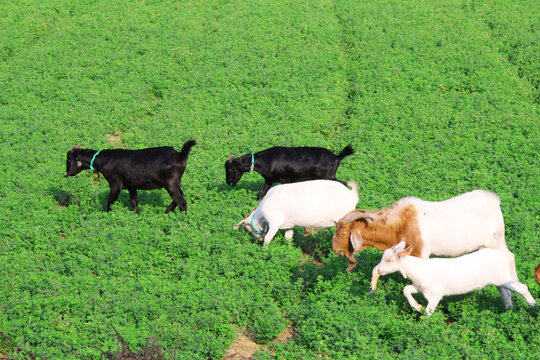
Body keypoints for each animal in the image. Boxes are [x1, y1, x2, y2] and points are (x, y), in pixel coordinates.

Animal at [65, 140, 196, 214]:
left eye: (69, 159)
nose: (66, 173)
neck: (103, 160)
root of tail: (180, 155)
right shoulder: (131, 185)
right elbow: (134, 202)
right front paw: (138, 215)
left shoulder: (115, 184)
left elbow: (110, 200)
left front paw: (106, 214)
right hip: (175, 182)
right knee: (180, 196)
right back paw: (167, 212)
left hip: (171, 183)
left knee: (182, 201)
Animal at [225, 144, 354, 200]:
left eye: (230, 168)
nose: (228, 182)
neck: (265, 160)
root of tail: (337, 157)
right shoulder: (269, 180)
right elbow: (261, 193)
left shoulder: (284, 180)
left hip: (329, 176)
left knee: (344, 183)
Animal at [332, 190, 516, 292]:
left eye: (343, 233)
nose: (336, 251)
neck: (399, 223)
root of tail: (494, 201)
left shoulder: (420, 253)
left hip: (495, 240)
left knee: (510, 257)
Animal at [372, 242, 536, 316]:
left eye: (389, 260)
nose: (378, 270)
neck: (419, 270)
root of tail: (502, 256)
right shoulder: (419, 287)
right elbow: (406, 289)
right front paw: (417, 306)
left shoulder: (435, 294)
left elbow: (428, 312)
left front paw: (424, 327)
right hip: (499, 281)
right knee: (506, 294)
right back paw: (508, 310)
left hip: (504, 277)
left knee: (522, 287)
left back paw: (533, 306)